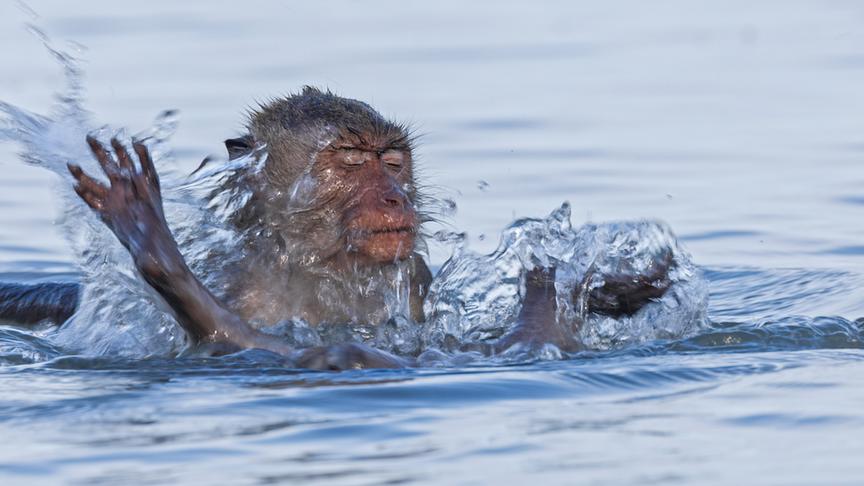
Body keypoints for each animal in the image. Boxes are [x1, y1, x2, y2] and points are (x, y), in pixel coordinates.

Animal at [0, 88, 673, 369]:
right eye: (349, 161)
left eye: (393, 161)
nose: (396, 196)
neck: (314, 266)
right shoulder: (249, 287)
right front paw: (151, 242)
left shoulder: (413, 277)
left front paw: (605, 292)